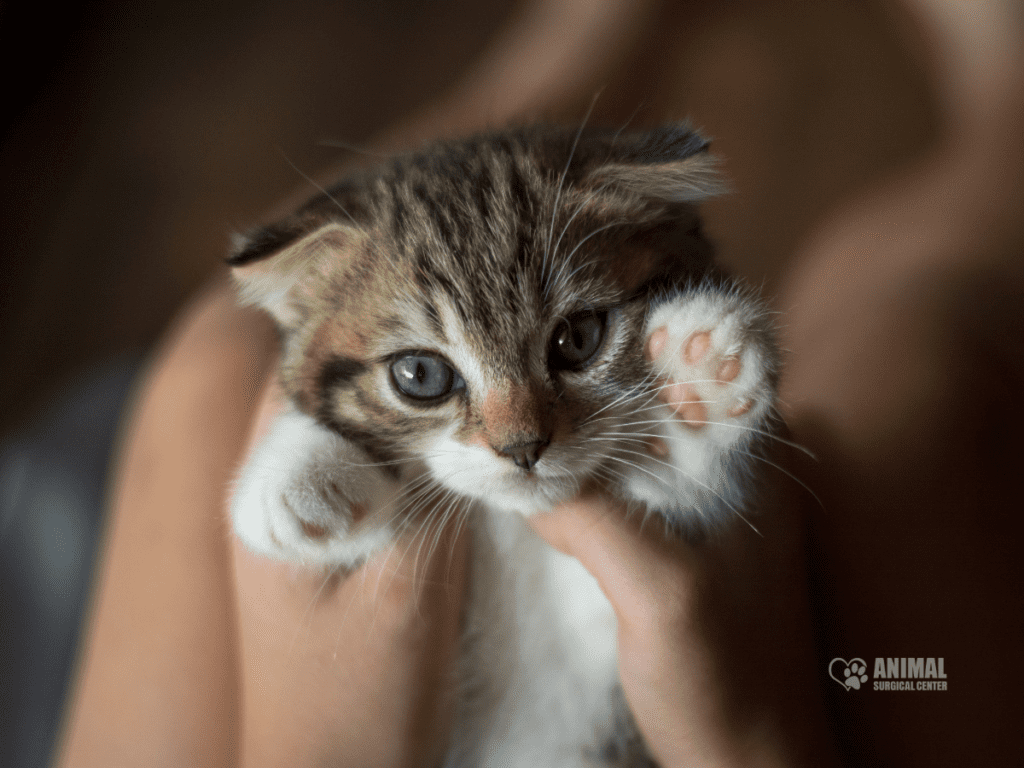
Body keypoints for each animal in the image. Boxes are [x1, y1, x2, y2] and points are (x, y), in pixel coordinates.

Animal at [228, 123, 778, 765]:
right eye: (421, 375)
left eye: (578, 338)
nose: (523, 448)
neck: (513, 532)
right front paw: (295, 478)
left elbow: (679, 493)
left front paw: (697, 385)